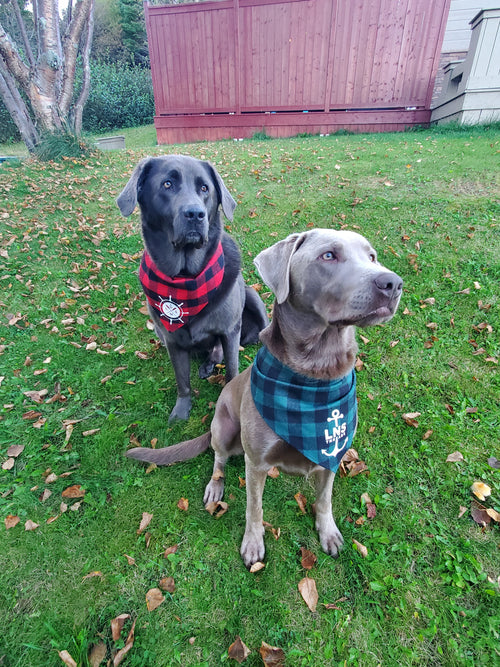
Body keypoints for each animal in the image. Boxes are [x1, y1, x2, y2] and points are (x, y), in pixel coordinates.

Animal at [117, 154, 268, 420]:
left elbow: (231, 370)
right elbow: (182, 381)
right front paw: (181, 410)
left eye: (205, 188)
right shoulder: (172, 340)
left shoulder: (230, 331)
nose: (196, 214)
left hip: (252, 297)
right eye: (167, 184)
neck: (185, 279)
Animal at [127, 230, 404, 568]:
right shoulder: (256, 462)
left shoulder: (332, 454)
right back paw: (215, 487)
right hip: (224, 429)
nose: (392, 283)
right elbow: (254, 507)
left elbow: (324, 499)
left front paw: (328, 532)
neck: (316, 373)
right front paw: (253, 544)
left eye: (372, 256)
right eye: (328, 255)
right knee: (218, 459)